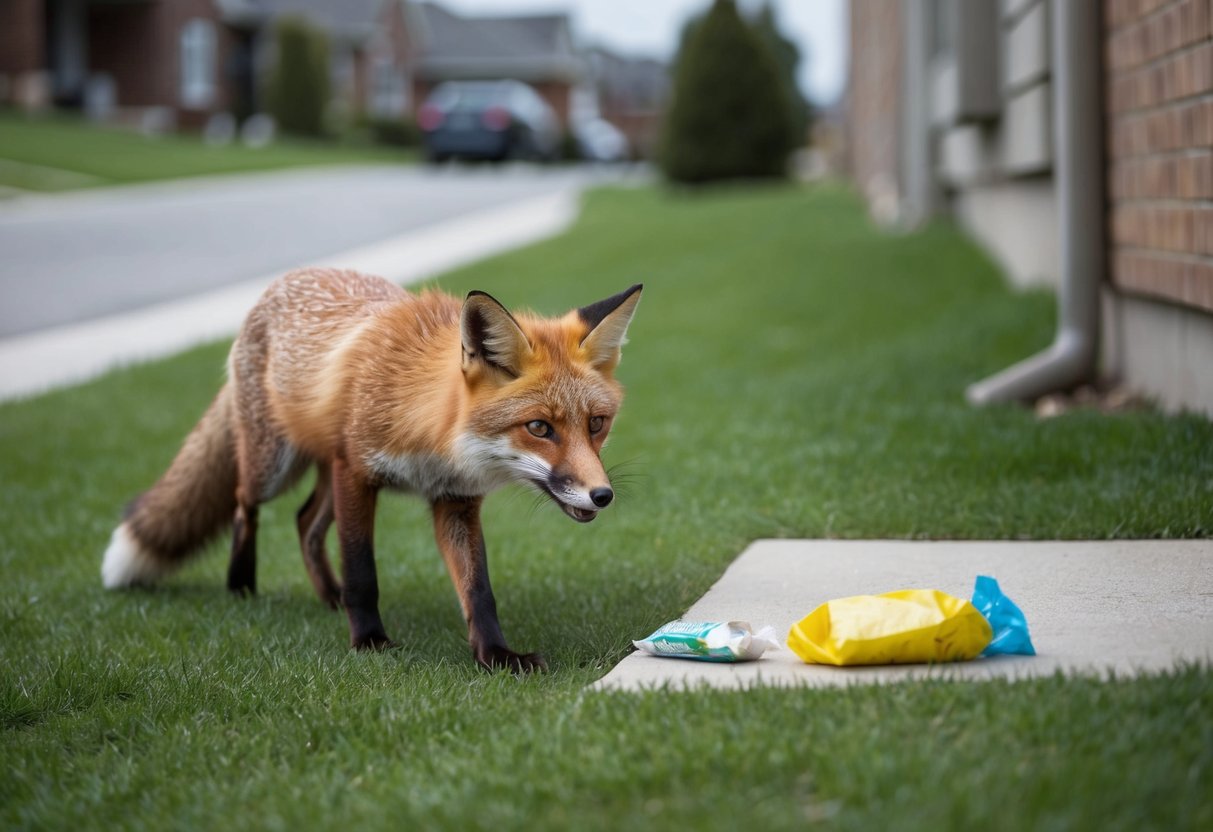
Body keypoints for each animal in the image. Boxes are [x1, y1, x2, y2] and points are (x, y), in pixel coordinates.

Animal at [101, 268, 642, 671]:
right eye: (539, 427)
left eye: (596, 424)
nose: (602, 495)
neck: (429, 432)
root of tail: (280, 282)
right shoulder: (356, 473)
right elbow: (362, 570)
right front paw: (368, 641)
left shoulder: (454, 500)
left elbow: (478, 590)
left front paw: (495, 655)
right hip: (273, 465)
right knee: (242, 504)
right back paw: (242, 585)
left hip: (320, 471)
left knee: (304, 521)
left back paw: (328, 596)